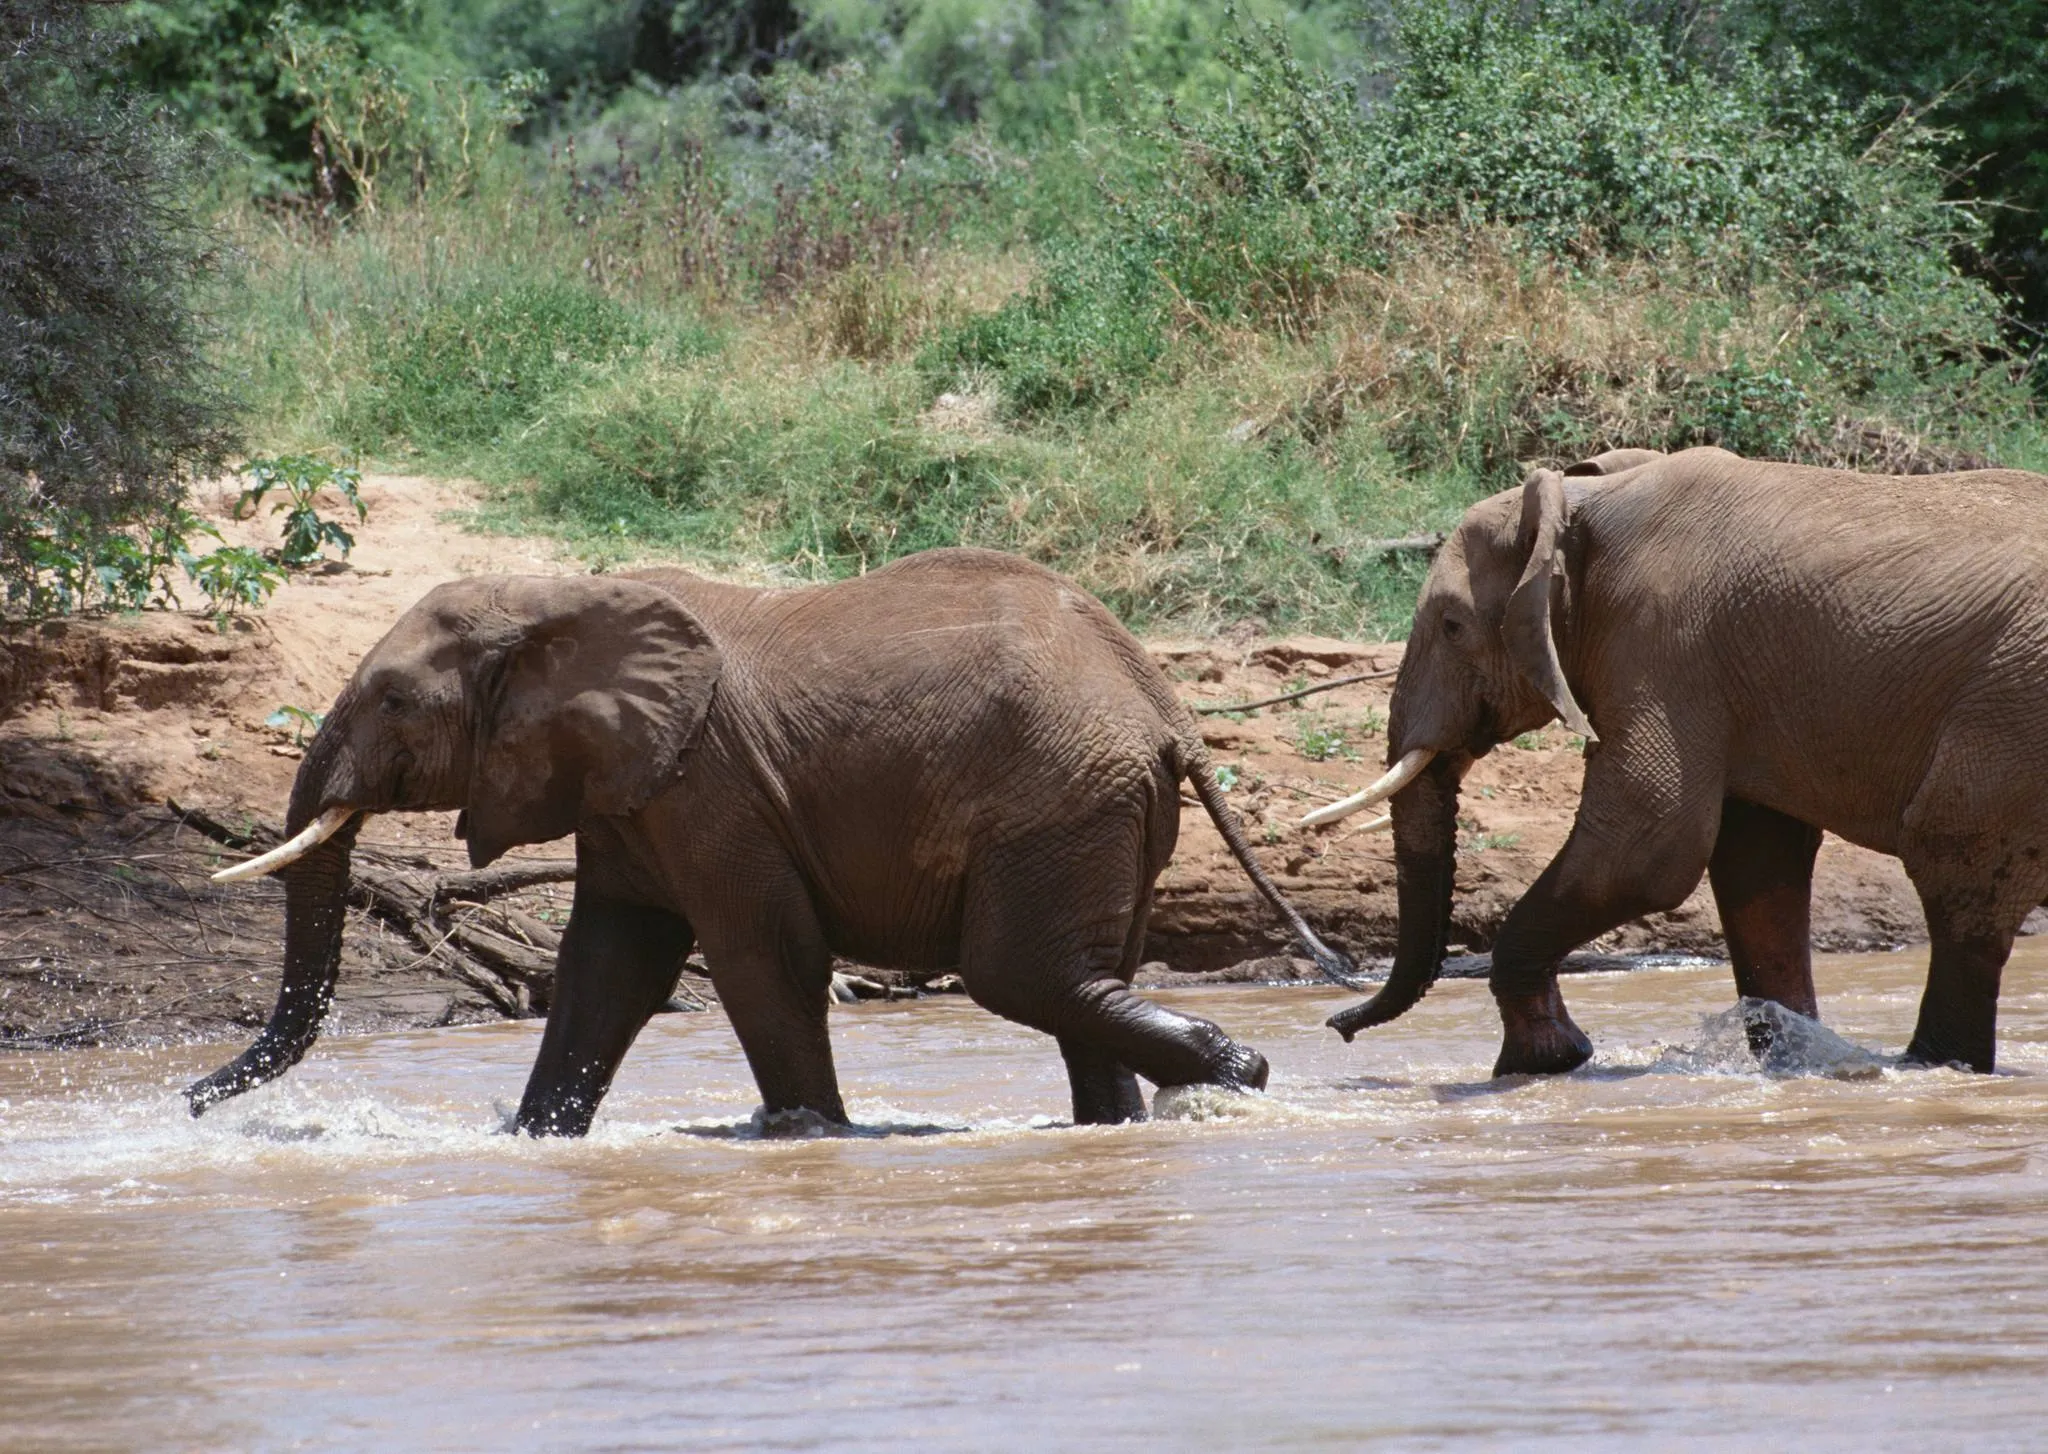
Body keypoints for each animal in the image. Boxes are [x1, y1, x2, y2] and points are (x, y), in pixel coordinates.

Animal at [190, 548, 1355, 1133]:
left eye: (391, 698)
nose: (192, 1099)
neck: (561, 594)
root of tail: (1164, 703)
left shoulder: (711, 784)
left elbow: (759, 956)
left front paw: (809, 1139)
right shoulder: (635, 789)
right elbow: (608, 963)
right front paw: (533, 1143)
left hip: (1060, 798)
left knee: (1021, 972)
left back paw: (1235, 1073)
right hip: (1100, 809)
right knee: (1083, 974)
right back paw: (1149, 1112)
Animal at [1306, 445, 2048, 1077]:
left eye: (1452, 626)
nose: (1337, 1028)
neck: (1582, 502)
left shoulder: (1663, 640)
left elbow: (1647, 847)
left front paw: (1544, 1061)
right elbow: (1757, 860)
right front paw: (1795, 1065)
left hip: (2013, 706)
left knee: (1955, 857)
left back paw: (1929, 1068)